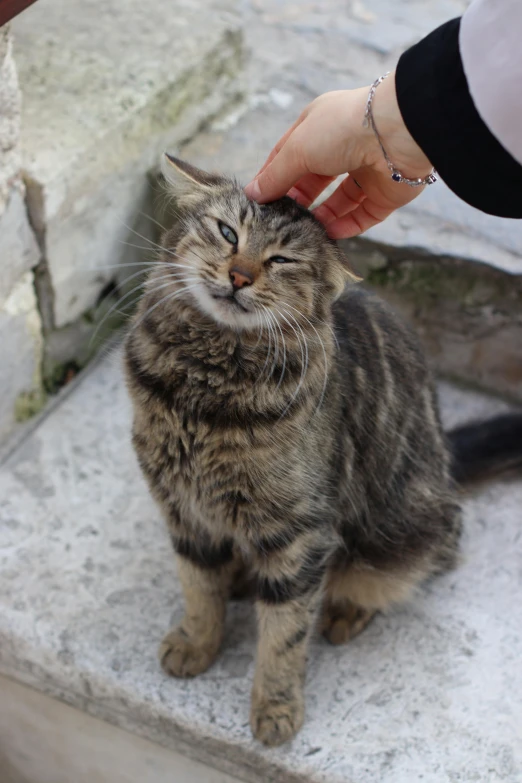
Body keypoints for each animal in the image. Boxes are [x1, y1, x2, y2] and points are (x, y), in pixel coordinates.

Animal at [123, 153, 520, 748]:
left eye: (281, 259)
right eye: (228, 233)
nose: (239, 276)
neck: (205, 396)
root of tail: (446, 461)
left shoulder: (300, 535)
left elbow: (284, 635)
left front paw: (275, 707)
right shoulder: (183, 508)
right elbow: (198, 588)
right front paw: (197, 643)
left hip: (399, 540)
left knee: (403, 571)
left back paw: (343, 613)